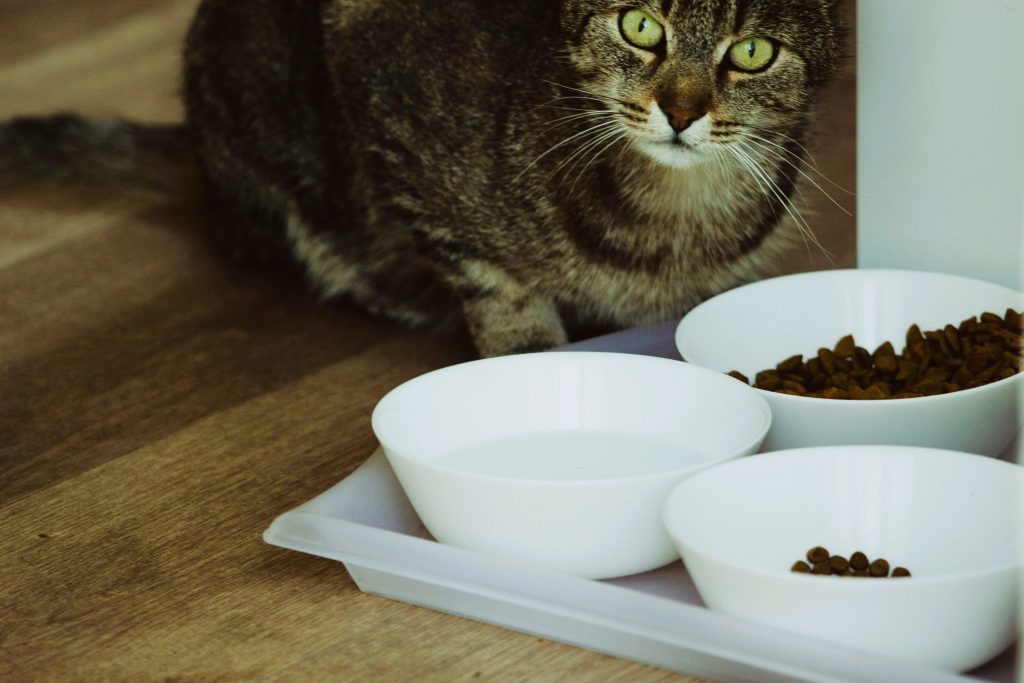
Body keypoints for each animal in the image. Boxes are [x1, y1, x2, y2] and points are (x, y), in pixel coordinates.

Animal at [0, 1, 847, 358]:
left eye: (752, 53)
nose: (680, 110)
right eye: (641, 26)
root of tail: (201, 164)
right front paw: (528, 355)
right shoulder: (381, 90)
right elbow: (496, 283)